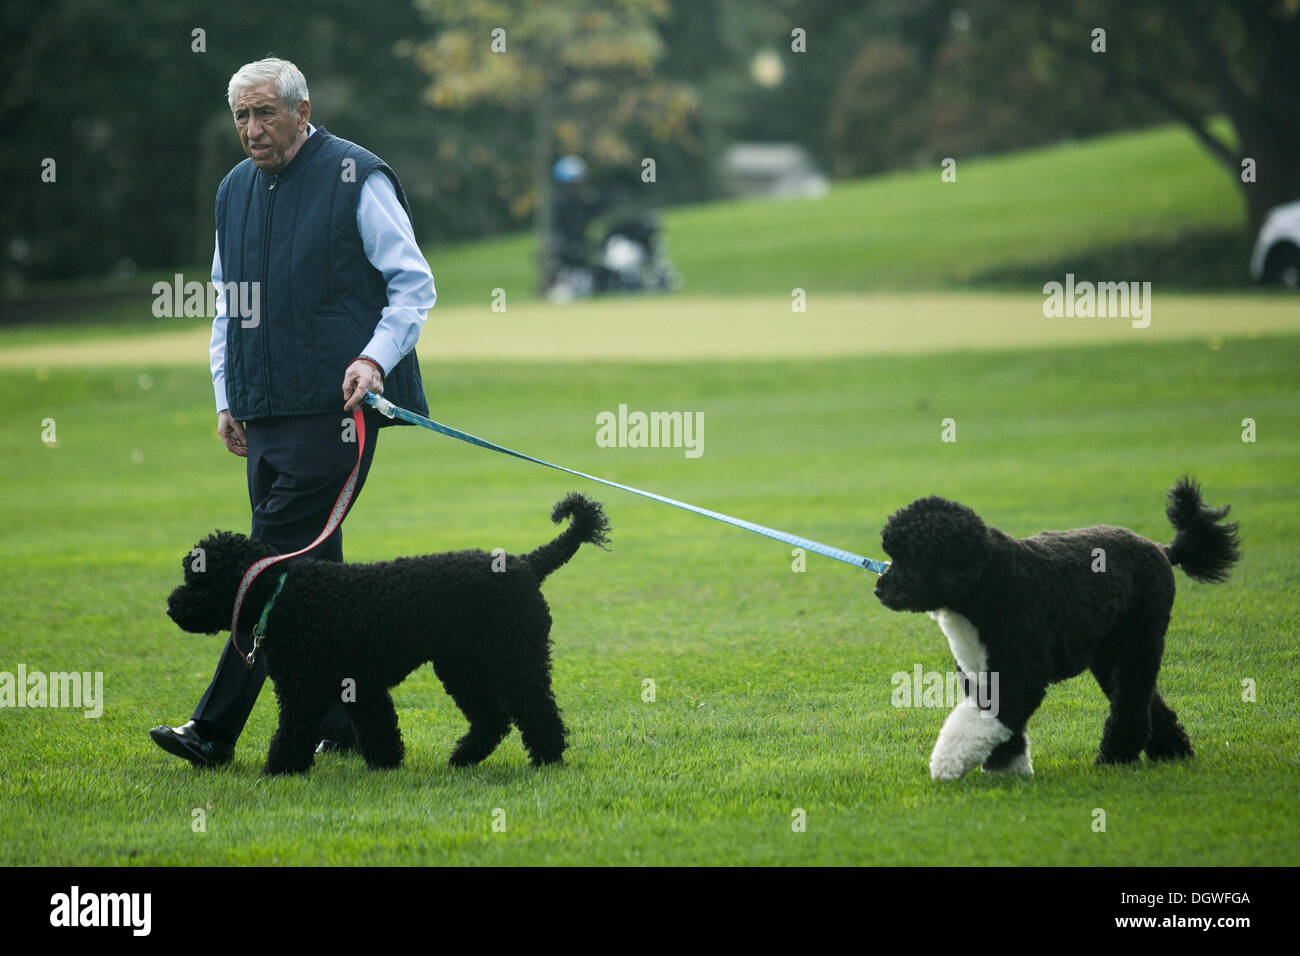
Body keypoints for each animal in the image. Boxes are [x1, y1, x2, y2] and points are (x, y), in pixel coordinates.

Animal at [165, 494, 605, 780]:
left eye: (198, 577)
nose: (170, 606)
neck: (283, 592)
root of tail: (527, 564)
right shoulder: (360, 685)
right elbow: (379, 727)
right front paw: (387, 764)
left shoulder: (304, 689)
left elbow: (292, 730)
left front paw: (279, 770)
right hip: (463, 666)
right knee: (493, 718)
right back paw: (464, 757)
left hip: (514, 658)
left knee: (538, 711)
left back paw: (548, 758)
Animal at [873, 481, 1237, 780]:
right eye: (893, 553)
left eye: (912, 556)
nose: (879, 589)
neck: (987, 582)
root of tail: (1163, 549)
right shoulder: (981, 672)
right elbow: (1001, 725)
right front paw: (1007, 768)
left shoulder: (1021, 673)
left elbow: (988, 719)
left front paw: (948, 763)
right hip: (1109, 653)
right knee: (1149, 702)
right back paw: (1172, 753)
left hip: (1139, 638)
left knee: (1131, 702)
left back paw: (1115, 758)